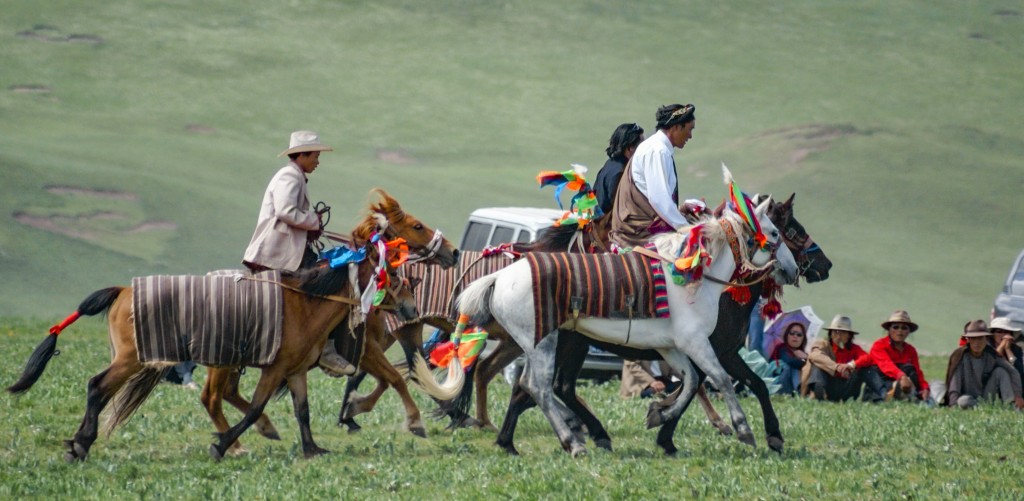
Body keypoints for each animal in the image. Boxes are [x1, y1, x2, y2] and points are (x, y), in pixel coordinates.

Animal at [7, 188, 456, 461]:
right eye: (415, 225)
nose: (451, 252)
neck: (313, 300)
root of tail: (122, 290)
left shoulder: (297, 368)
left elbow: (306, 408)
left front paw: (315, 445)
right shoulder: (312, 359)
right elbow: (391, 379)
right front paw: (410, 421)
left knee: (211, 396)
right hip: (143, 358)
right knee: (105, 387)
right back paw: (81, 445)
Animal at [454, 166, 798, 452]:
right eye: (779, 232)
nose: (795, 269)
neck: (692, 274)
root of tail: (500, 276)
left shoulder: (674, 347)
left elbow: (690, 382)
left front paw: (659, 416)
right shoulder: (700, 343)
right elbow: (721, 380)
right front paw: (744, 429)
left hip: (547, 342)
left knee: (534, 386)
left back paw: (518, 441)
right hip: (546, 342)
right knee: (539, 387)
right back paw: (572, 440)